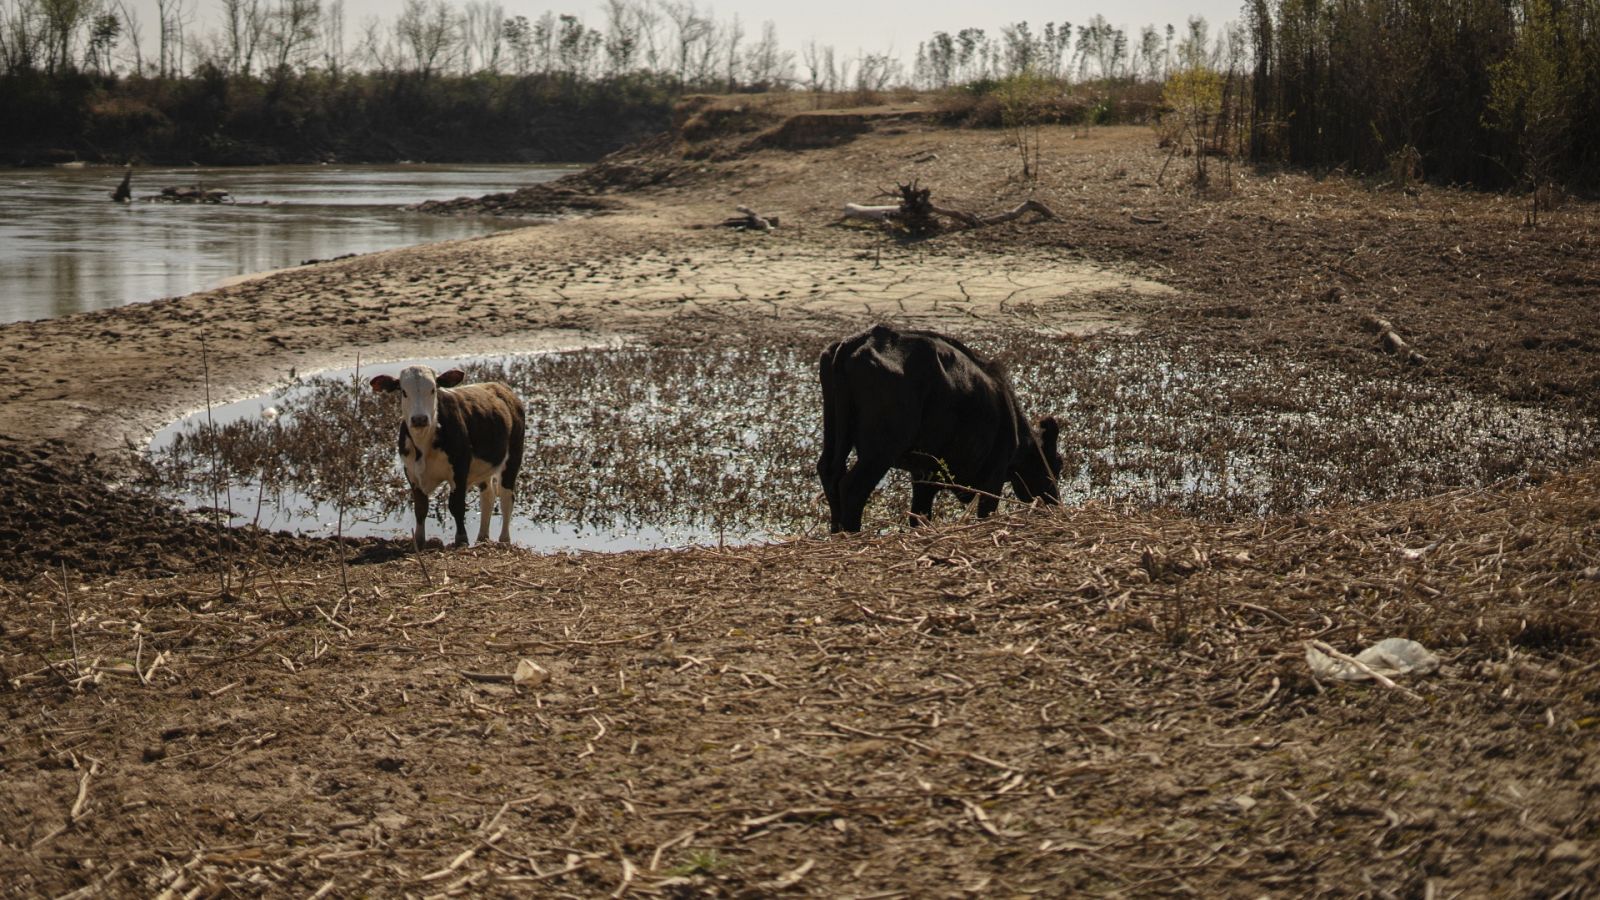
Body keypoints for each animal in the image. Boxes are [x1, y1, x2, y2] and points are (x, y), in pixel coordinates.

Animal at [371, 365, 528, 547]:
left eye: (433, 389)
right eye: (403, 391)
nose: (419, 419)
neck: (424, 446)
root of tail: (501, 387)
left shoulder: (460, 468)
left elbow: (456, 505)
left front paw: (461, 539)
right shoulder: (411, 472)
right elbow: (420, 507)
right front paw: (419, 540)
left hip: (514, 456)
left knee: (506, 497)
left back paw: (504, 540)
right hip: (485, 467)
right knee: (487, 496)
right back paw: (482, 538)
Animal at [812, 323, 1062, 528]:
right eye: (1057, 465)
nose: (1054, 503)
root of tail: (857, 341)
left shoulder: (925, 473)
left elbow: (919, 516)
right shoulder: (994, 473)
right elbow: (986, 513)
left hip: (836, 433)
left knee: (830, 473)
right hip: (880, 450)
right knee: (852, 488)